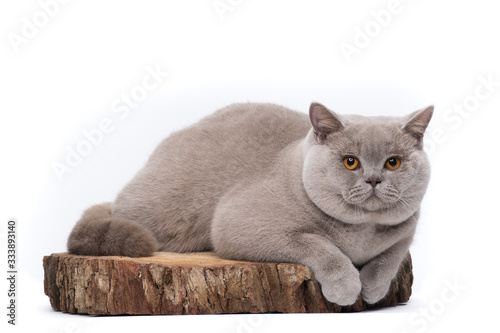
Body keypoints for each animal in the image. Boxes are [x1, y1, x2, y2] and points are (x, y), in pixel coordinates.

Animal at [67, 102, 434, 306]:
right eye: (350, 162)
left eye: (393, 163)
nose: (373, 179)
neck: (360, 232)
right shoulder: (241, 223)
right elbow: (320, 245)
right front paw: (346, 287)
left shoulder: (407, 230)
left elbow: (390, 257)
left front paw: (372, 288)